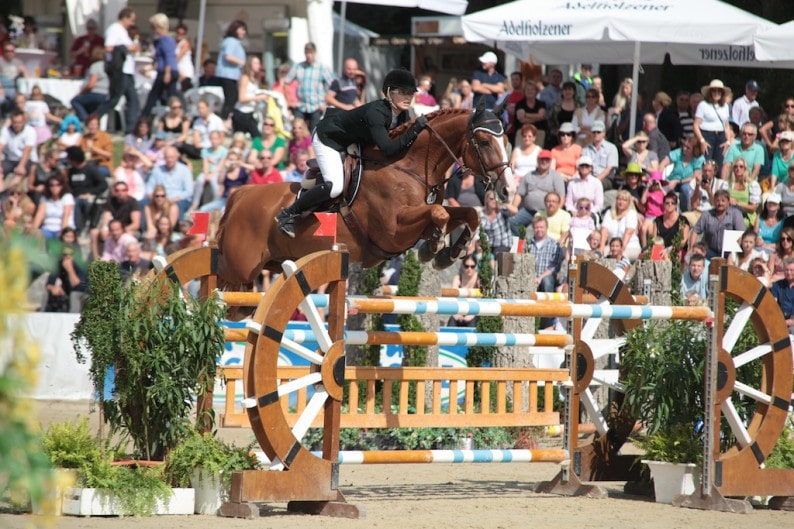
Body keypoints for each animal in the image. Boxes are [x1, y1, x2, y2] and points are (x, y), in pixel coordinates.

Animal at [213, 104, 510, 290]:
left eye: (506, 141)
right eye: (485, 142)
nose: (506, 190)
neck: (410, 166)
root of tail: (241, 194)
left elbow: (465, 214)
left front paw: (449, 253)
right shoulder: (393, 231)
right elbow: (440, 214)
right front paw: (434, 248)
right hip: (241, 267)